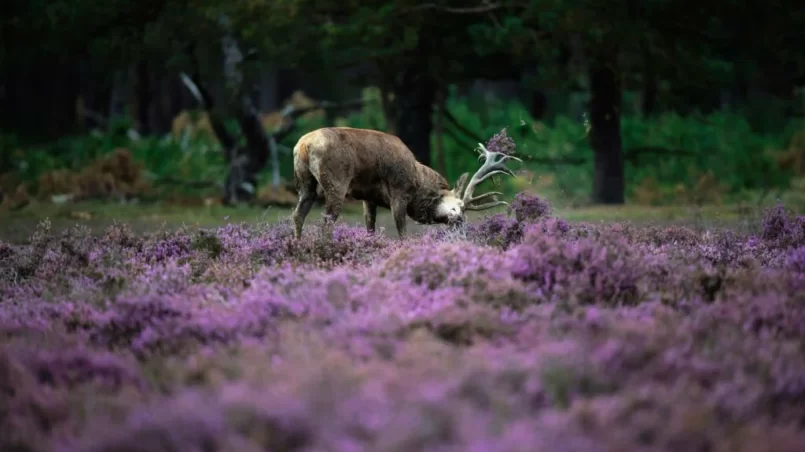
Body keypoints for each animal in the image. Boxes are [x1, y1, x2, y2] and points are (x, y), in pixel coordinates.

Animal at [292, 125, 520, 238]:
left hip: (305, 184)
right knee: (326, 222)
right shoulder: (399, 192)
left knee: (297, 215)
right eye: (460, 205)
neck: (419, 182)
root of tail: (303, 145)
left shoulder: (368, 197)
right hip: (336, 182)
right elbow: (402, 232)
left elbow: (370, 227)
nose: (460, 222)